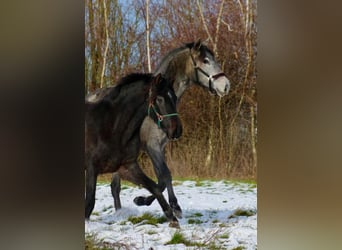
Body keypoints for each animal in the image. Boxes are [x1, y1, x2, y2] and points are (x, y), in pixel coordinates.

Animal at [85, 73, 182, 227]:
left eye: (174, 97)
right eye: (159, 99)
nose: (177, 130)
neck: (111, 127)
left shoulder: (127, 167)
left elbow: (154, 187)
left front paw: (172, 218)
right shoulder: (91, 168)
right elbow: (89, 202)